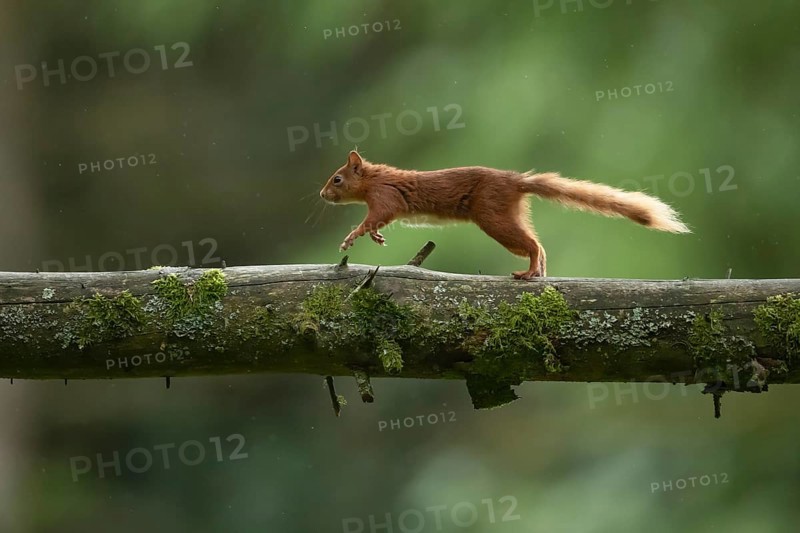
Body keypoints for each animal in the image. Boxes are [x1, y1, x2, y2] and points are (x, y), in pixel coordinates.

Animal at [319, 150, 690, 279]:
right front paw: (376, 237)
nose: (322, 195)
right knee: (538, 245)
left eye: (336, 178)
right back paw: (538, 273)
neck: (374, 179)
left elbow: (374, 217)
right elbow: (377, 223)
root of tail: (515, 180)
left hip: (493, 217)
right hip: (507, 215)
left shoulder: (385, 197)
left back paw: (528, 273)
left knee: (533, 245)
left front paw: (351, 238)